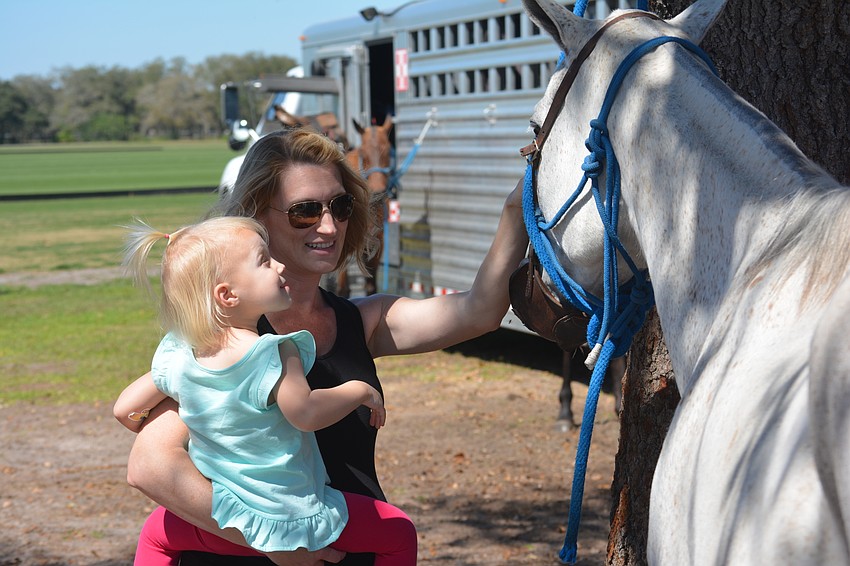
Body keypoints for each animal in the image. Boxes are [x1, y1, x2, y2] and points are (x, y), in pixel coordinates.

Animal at [338, 116, 394, 297]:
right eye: (363, 152)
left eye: (388, 151)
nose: (378, 190)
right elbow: (343, 290)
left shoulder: (377, 244)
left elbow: (371, 287)